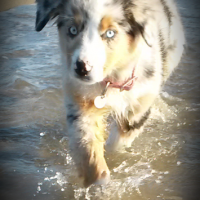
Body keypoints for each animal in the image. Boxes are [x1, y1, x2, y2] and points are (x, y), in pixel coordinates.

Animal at [35, 0, 185, 188]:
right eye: (73, 30)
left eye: (110, 33)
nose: (82, 69)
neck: (111, 80)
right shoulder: (81, 104)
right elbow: (89, 150)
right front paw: (99, 184)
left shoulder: (138, 106)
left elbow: (118, 142)